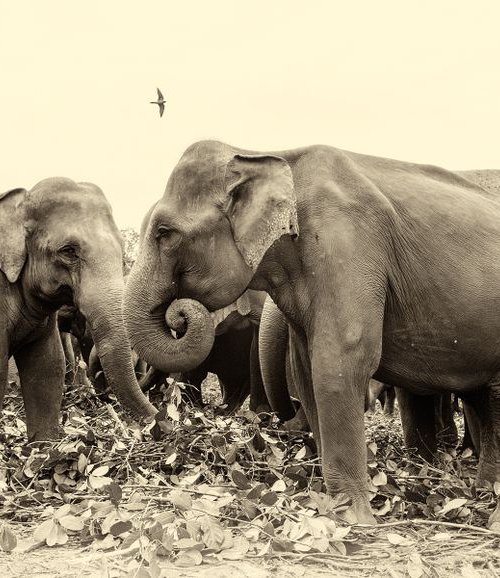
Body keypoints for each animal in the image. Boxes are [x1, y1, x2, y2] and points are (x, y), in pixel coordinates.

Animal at [123, 140, 500, 528]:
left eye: (164, 232)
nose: (180, 314)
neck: (268, 154)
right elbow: (307, 373)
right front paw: (328, 505)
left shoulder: (347, 245)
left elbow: (341, 361)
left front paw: (354, 519)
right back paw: (480, 493)